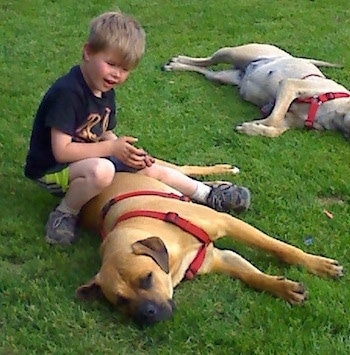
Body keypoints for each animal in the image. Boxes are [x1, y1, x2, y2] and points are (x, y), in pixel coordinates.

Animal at [76, 161, 342, 326]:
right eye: (121, 301)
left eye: (147, 277)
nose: (147, 314)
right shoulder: (219, 259)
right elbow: (252, 276)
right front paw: (284, 288)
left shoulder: (227, 223)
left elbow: (280, 248)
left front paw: (319, 265)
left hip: (155, 169)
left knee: (185, 168)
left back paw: (224, 172)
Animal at [163, 43, 350, 139]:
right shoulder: (290, 86)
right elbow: (274, 118)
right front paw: (255, 124)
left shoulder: (289, 120)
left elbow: (276, 130)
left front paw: (253, 128)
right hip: (232, 52)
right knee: (207, 60)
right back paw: (178, 60)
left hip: (224, 76)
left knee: (206, 70)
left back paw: (177, 65)